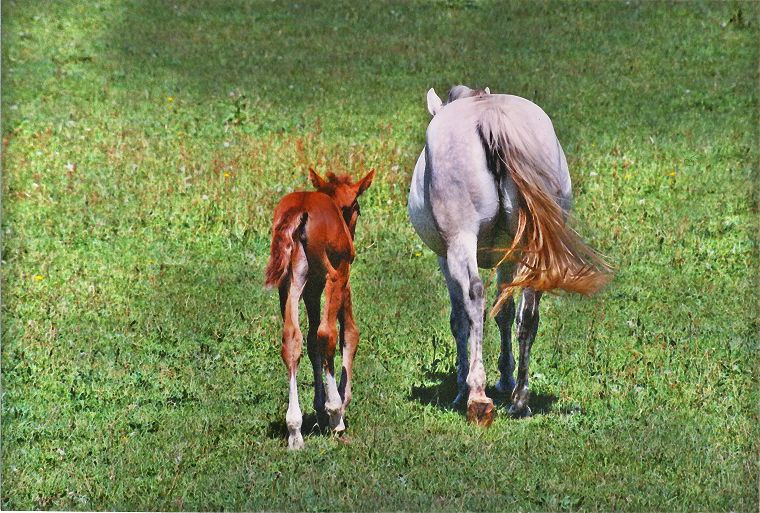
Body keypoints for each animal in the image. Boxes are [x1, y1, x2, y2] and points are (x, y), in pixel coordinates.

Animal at [266, 168, 376, 448]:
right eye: (356, 207)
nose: (352, 235)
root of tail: (301, 208)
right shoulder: (341, 276)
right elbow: (348, 333)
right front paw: (337, 406)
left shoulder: (312, 288)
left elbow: (311, 341)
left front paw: (318, 408)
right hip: (332, 276)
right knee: (327, 334)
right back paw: (335, 413)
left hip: (291, 281)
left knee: (291, 340)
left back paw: (294, 430)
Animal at [406, 83, 608, 420]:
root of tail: (490, 119)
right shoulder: (509, 258)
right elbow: (506, 312)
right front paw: (505, 378)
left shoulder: (444, 258)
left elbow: (460, 319)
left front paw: (462, 387)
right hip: (530, 249)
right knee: (528, 312)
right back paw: (519, 398)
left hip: (460, 241)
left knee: (474, 296)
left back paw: (477, 396)